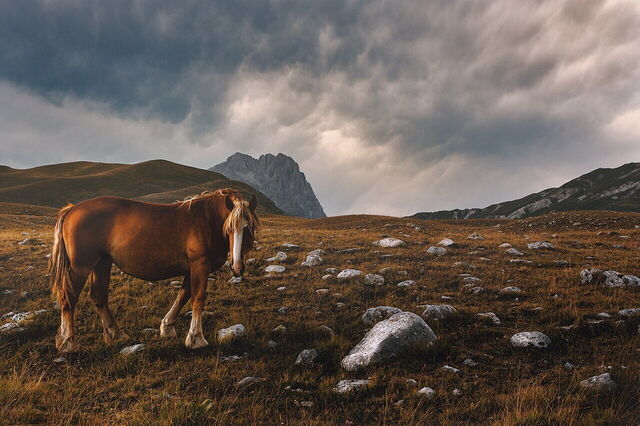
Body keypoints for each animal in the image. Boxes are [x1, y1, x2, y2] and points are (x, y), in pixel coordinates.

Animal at [49, 188, 259, 352]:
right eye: (229, 229)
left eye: (248, 228)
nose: (237, 267)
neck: (206, 220)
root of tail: (73, 209)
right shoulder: (199, 265)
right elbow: (197, 299)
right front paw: (196, 339)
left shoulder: (191, 268)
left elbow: (183, 295)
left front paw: (167, 327)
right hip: (81, 266)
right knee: (69, 298)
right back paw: (68, 342)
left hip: (102, 263)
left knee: (99, 297)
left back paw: (116, 334)